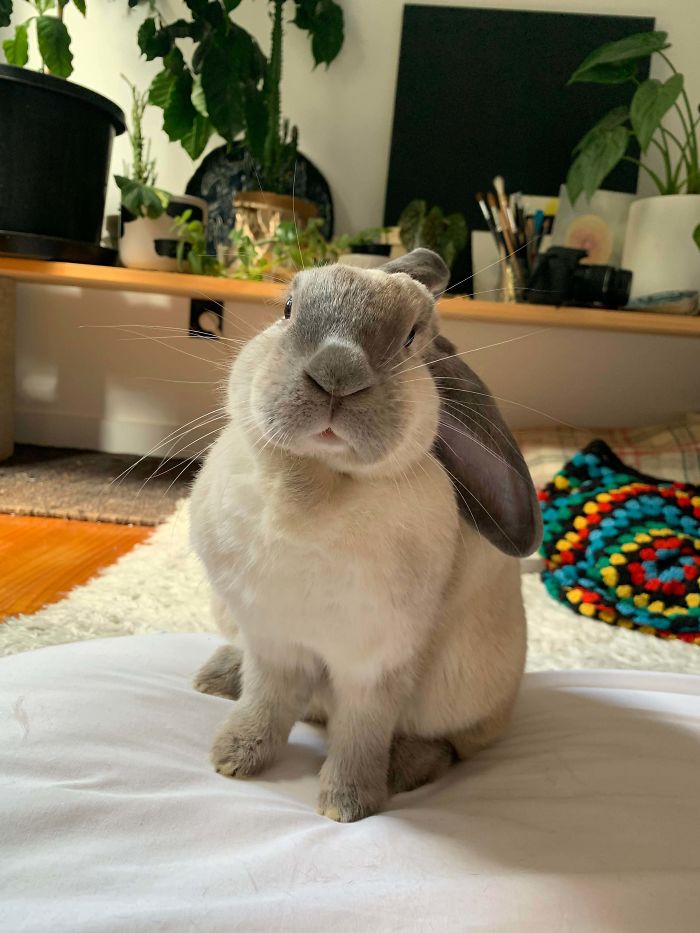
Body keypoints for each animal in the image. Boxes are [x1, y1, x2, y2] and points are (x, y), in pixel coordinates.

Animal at [189, 247, 542, 822]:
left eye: (411, 338)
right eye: (287, 309)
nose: (336, 374)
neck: (315, 484)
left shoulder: (376, 663)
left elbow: (361, 731)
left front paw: (346, 803)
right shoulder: (272, 638)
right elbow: (266, 700)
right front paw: (235, 757)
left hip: (463, 689)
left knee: (451, 743)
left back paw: (405, 768)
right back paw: (217, 676)